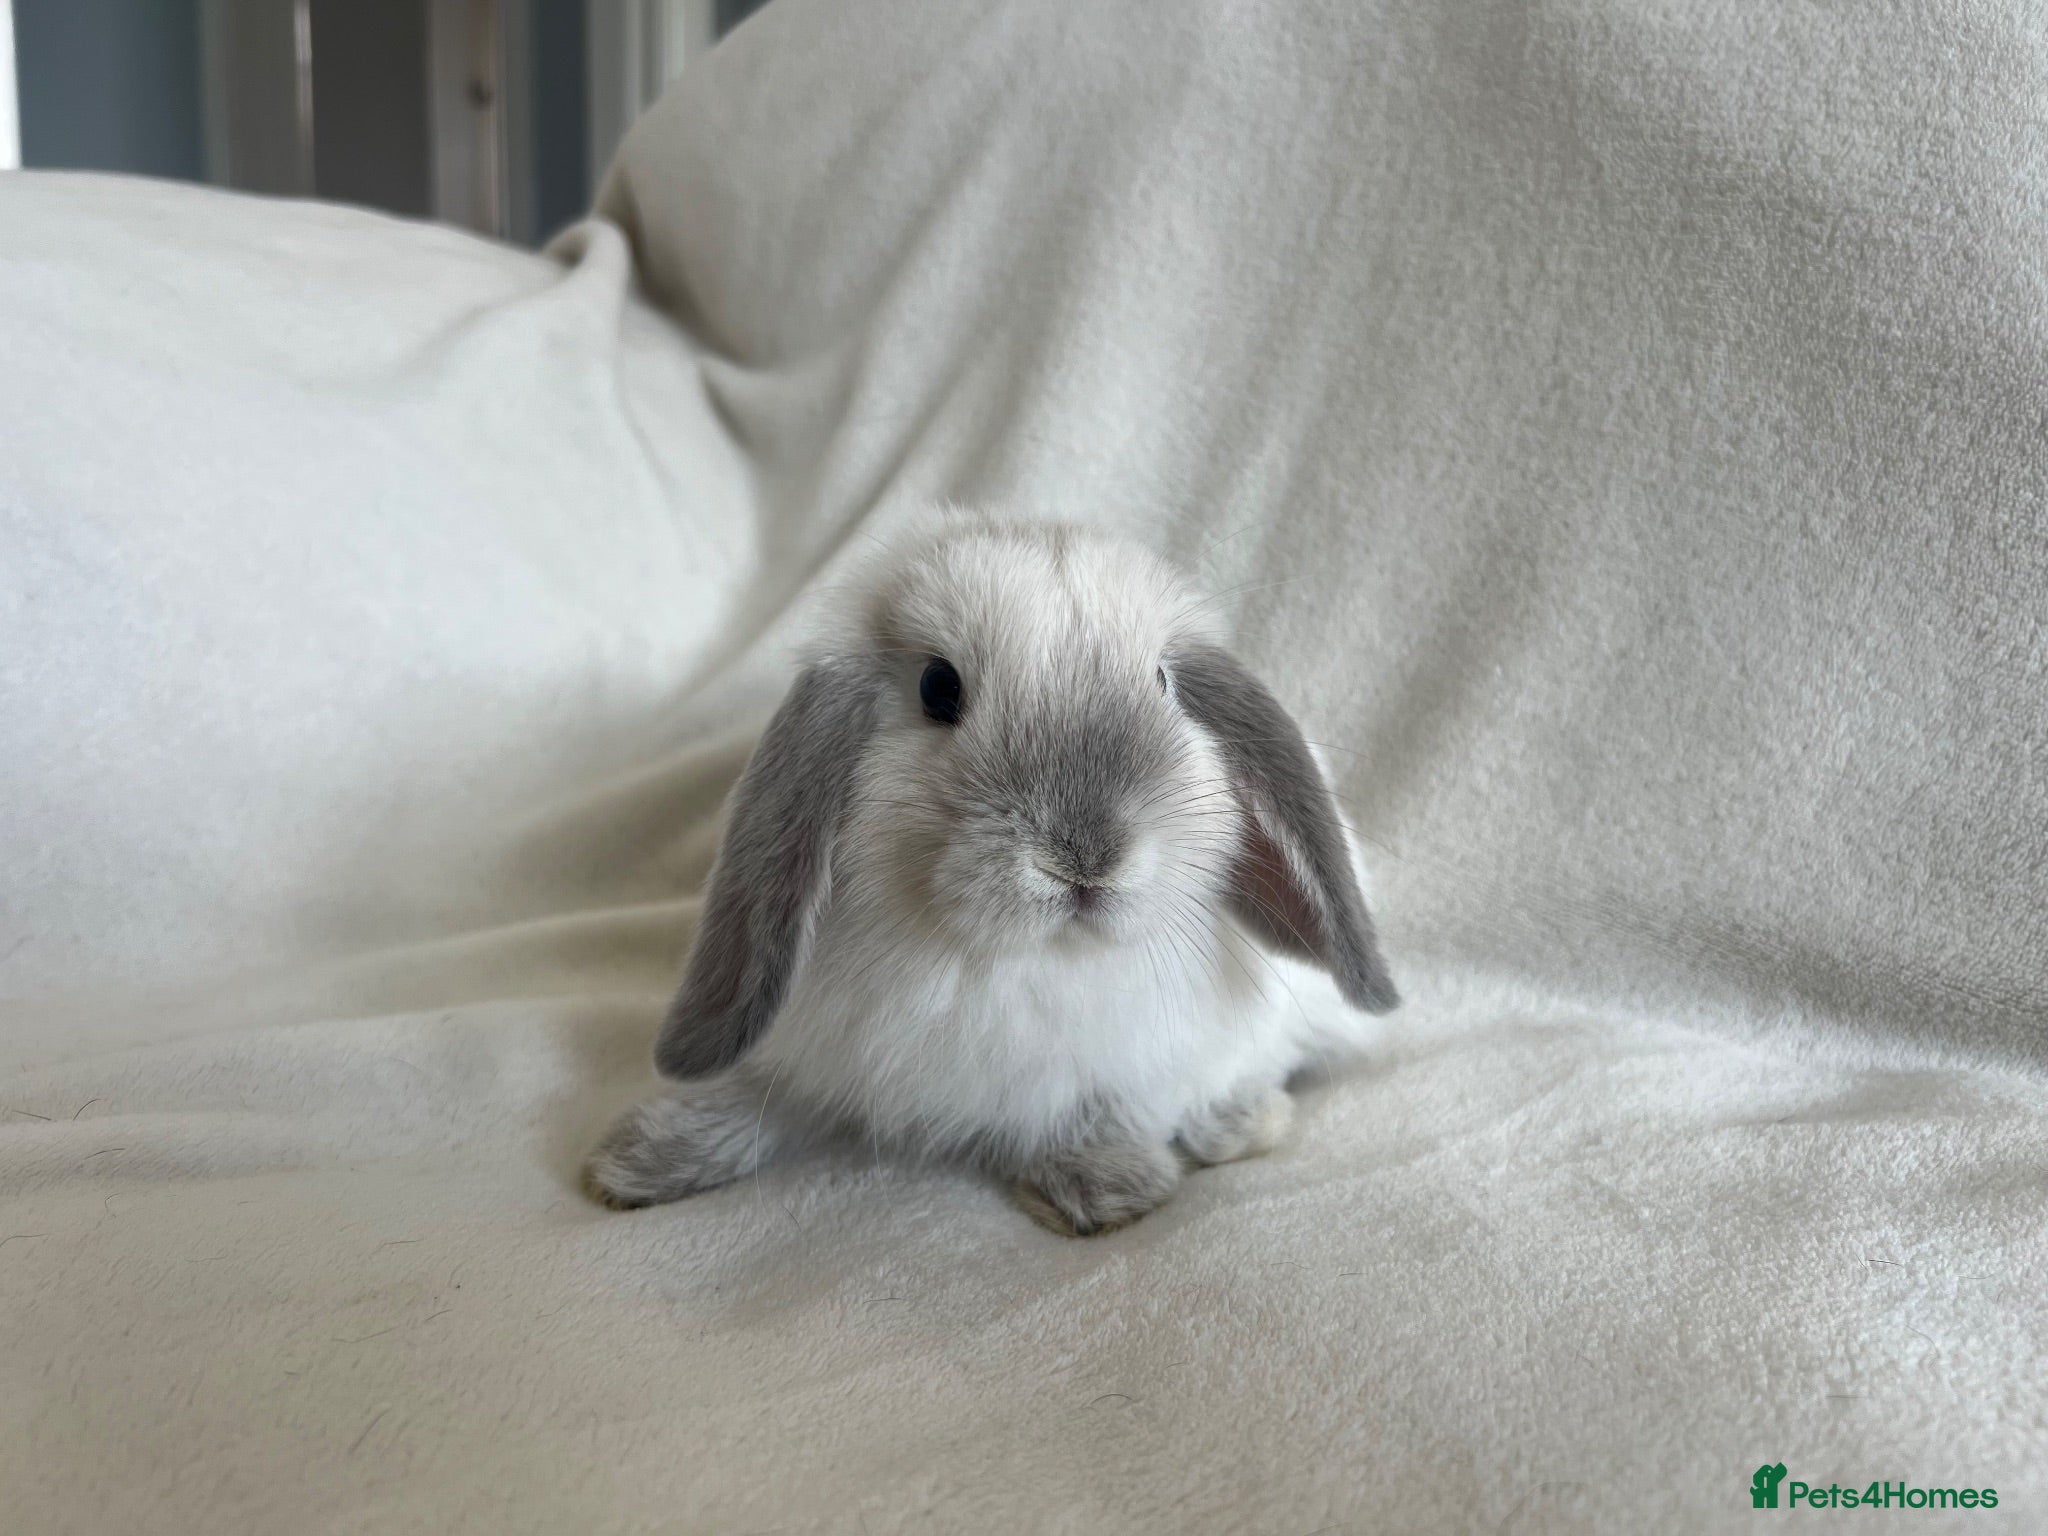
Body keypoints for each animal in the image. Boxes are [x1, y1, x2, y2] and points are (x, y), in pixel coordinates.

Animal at [586, 517, 1398, 1235]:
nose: (1085, 857)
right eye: (937, 688)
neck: (997, 960)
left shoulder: (1122, 1060)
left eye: (1164, 682)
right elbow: (757, 1096)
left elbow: (1103, 1103)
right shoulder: (809, 1043)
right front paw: (637, 1158)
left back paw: (1240, 1121)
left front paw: (1106, 1187)